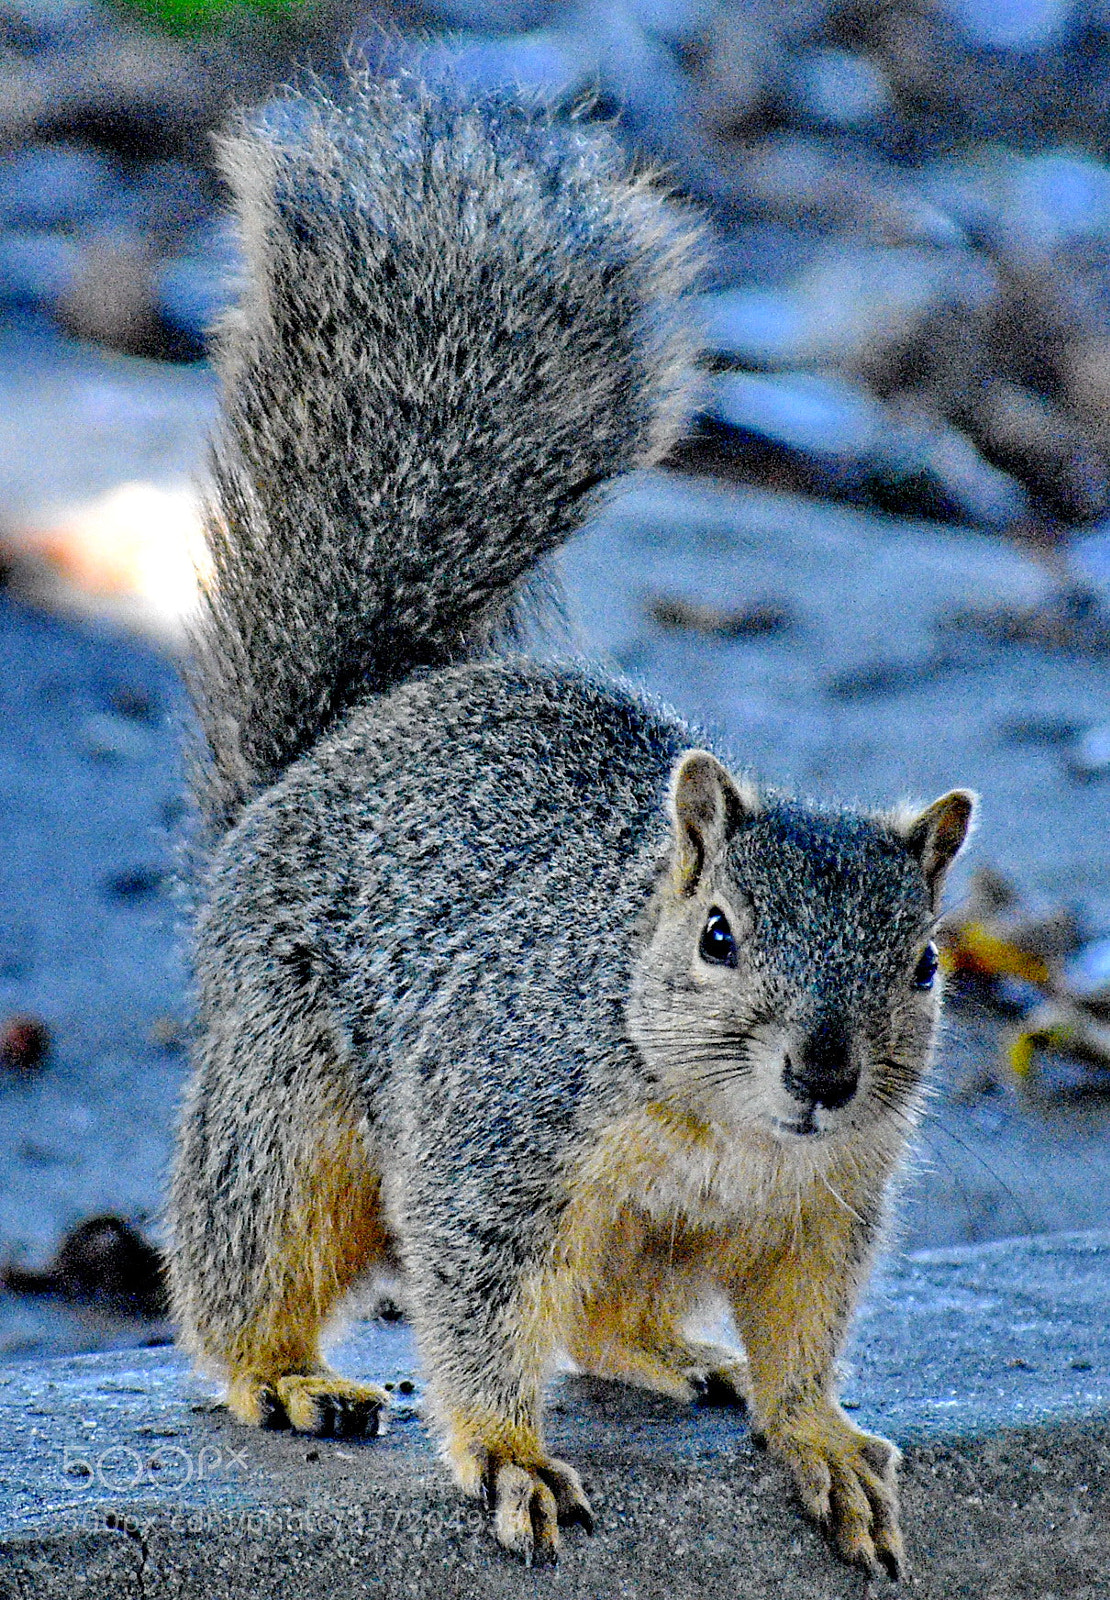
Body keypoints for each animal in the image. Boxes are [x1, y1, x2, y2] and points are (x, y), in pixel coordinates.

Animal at [168, 68, 976, 1578]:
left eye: (925, 964)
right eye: (718, 934)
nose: (826, 1073)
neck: (722, 1130)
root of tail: (330, 750)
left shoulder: (822, 1210)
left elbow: (802, 1335)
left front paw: (819, 1435)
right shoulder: (493, 1137)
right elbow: (477, 1306)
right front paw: (507, 1454)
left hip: (630, 1241)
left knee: (606, 1316)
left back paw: (685, 1360)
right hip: (289, 1098)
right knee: (251, 1252)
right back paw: (286, 1373)